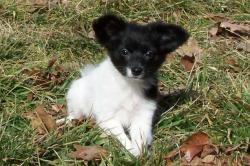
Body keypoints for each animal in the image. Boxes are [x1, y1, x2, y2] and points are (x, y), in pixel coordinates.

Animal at [65, 14, 188, 156]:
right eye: (124, 52)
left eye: (149, 54)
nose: (137, 70)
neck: (130, 85)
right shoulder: (109, 118)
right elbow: (122, 137)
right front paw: (131, 152)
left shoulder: (142, 116)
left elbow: (140, 138)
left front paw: (140, 154)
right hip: (76, 99)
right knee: (75, 113)